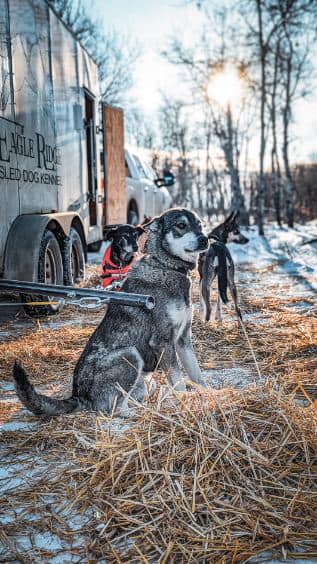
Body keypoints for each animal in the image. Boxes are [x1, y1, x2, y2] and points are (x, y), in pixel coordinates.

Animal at [13, 209, 209, 416]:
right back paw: (133, 413)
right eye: (181, 225)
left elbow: (196, 373)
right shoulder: (163, 341)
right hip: (130, 354)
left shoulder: (183, 340)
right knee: (111, 408)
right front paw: (184, 403)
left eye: (200, 225)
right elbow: (178, 380)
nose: (205, 239)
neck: (166, 266)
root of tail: (79, 395)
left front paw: (209, 394)